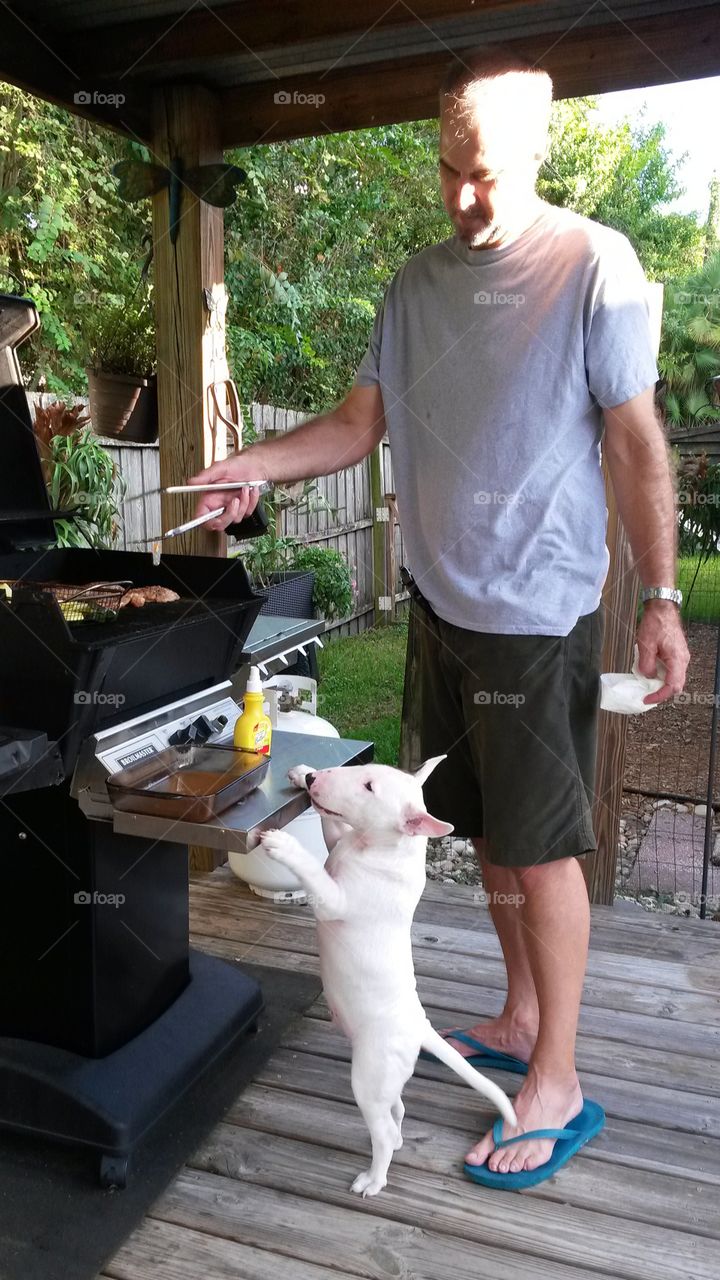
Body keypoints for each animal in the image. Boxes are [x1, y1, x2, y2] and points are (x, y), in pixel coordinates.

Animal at [258, 752, 515, 1192]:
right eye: (365, 774)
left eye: (369, 787)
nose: (314, 779)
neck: (380, 847)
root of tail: (419, 1026)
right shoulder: (338, 842)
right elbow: (330, 829)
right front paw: (298, 774)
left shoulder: (335, 900)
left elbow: (314, 872)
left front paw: (283, 844)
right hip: (385, 1078)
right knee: (395, 1112)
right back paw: (394, 1140)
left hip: (369, 1075)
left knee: (380, 1129)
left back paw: (374, 1179)